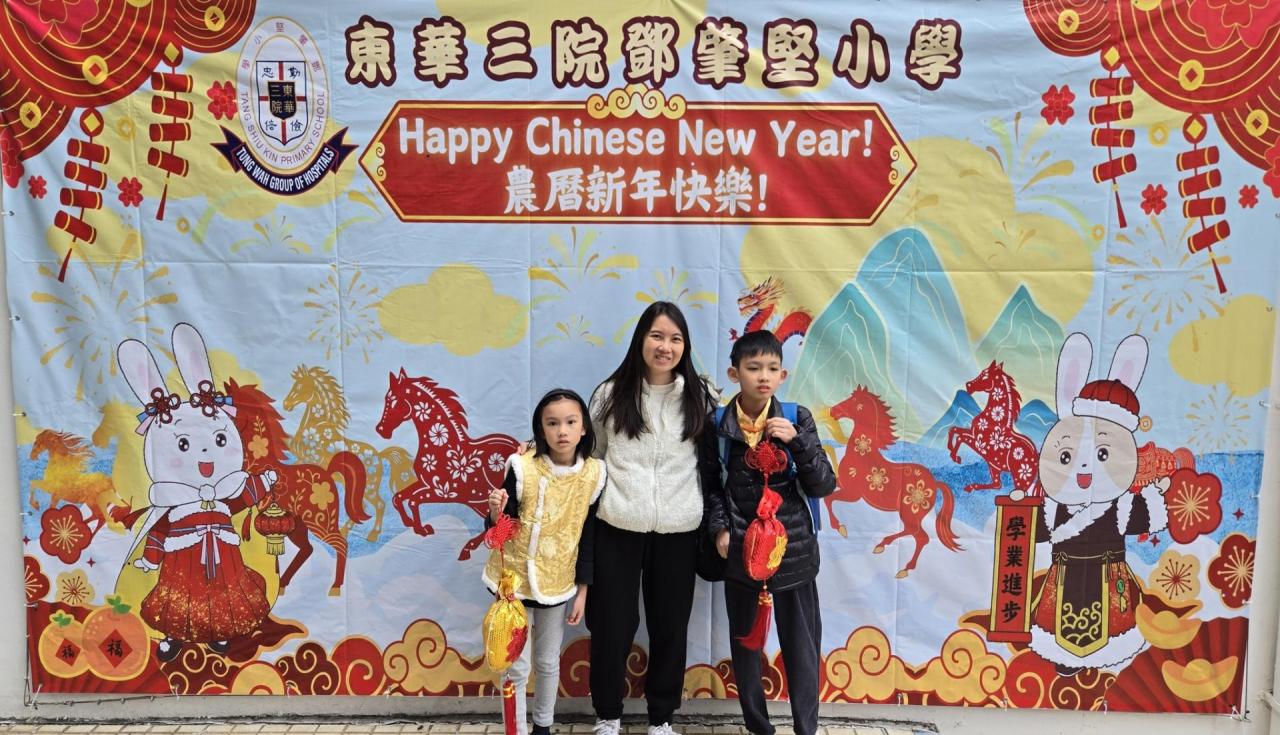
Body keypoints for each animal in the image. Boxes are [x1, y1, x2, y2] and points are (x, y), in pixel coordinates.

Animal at [225, 379, 370, 596]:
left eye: (231, 405)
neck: (257, 460)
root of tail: (329, 474)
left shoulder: (247, 494)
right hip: (298, 526)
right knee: (307, 549)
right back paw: (283, 584)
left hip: (321, 522)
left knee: (341, 544)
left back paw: (335, 587)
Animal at [282, 365, 414, 542]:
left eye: (301, 386)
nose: (286, 404)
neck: (317, 427)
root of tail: (379, 456)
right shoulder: (304, 459)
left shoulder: (311, 459)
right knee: (361, 506)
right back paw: (344, 531)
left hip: (369, 487)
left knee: (379, 505)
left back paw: (372, 534)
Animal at [375, 369, 520, 560]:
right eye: (386, 399)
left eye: (395, 401)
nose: (381, 430)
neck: (441, 445)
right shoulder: (425, 483)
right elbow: (398, 497)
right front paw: (410, 523)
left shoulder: (444, 492)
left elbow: (413, 500)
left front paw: (422, 529)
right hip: (480, 501)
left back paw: (467, 550)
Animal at [828, 387, 961, 578]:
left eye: (855, 402)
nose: (833, 411)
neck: (862, 453)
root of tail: (935, 483)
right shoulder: (843, 484)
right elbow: (827, 495)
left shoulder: (854, 494)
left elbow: (829, 499)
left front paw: (840, 528)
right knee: (916, 534)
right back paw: (885, 548)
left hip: (910, 513)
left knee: (919, 535)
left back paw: (899, 564)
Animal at [946, 361, 1039, 495]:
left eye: (985, 375)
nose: (968, 385)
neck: (994, 420)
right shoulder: (973, 434)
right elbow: (954, 430)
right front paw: (950, 449)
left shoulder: (980, 444)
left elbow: (961, 437)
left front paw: (956, 458)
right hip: (994, 466)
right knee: (997, 484)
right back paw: (971, 487)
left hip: (1021, 479)